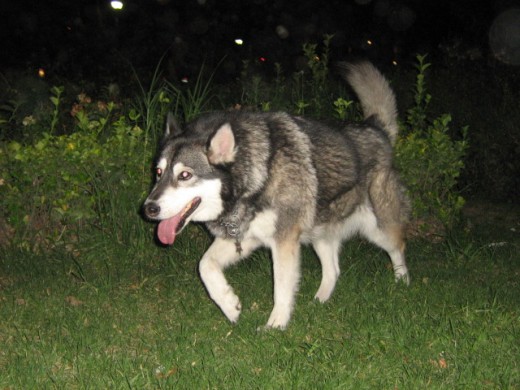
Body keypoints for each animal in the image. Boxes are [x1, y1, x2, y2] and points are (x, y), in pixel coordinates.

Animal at [143, 61, 410, 330]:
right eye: (158, 172)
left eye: (185, 175)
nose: (149, 208)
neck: (256, 181)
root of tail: (375, 127)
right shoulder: (243, 237)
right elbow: (205, 266)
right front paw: (229, 305)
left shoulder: (284, 241)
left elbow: (281, 288)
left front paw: (276, 327)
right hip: (320, 232)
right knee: (333, 270)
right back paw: (319, 302)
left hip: (378, 229)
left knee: (398, 247)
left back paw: (402, 283)